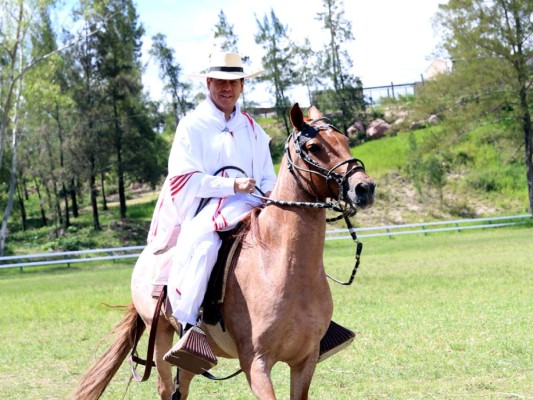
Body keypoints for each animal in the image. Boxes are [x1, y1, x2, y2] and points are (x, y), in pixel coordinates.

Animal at [75, 103, 374, 400]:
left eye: (345, 140)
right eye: (313, 147)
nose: (364, 187)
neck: (279, 266)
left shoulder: (305, 360)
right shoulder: (256, 364)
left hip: (191, 358)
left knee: (181, 386)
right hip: (159, 334)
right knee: (165, 387)